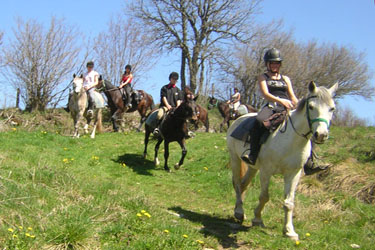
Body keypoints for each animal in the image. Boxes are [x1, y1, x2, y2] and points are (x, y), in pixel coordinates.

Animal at [228, 81, 340, 239]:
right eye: (311, 107)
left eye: (332, 108)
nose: (321, 135)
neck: (291, 140)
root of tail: (239, 118)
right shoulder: (266, 171)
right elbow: (264, 196)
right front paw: (257, 219)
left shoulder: (293, 174)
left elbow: (289, 203)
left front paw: (289, 231)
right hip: (235, 159)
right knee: (237, 183)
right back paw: (239, 212)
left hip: (253, 167)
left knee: (243, 184)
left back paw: (239, 212)